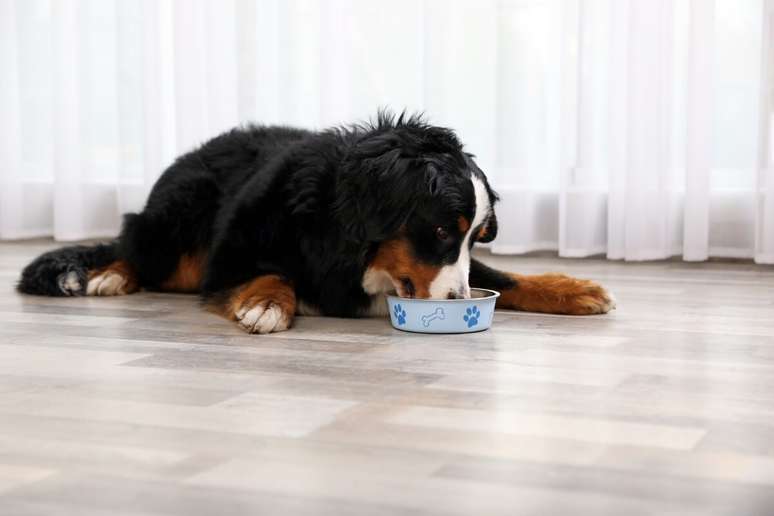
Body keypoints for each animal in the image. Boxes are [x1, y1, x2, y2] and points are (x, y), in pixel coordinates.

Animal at [15, 111, 616, 332]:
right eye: (443, 229)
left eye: (476, 236)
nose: (457, 304)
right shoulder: (231, 256)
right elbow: (270, 272)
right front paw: (266, 304)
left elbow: (505, 278)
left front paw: (571, 288)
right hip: (176, 223)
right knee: (132, 247)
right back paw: (109, 276)